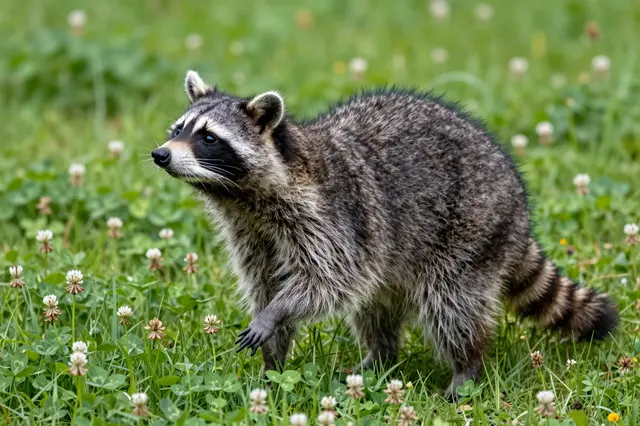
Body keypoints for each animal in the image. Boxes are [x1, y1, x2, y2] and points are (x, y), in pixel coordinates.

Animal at [152, 70, 617, 397]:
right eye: (178, 130)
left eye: (209, 137)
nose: (160, 154)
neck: (243, 197)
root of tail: (519, 205)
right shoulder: (253, 234)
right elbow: (265, 283)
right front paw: (273, 361)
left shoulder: (332, 220)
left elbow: (328, 282)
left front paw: (276, 314)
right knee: (376, 309)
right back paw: (378, 357)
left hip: (470, 233)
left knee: (453, 305)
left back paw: (466, 366)